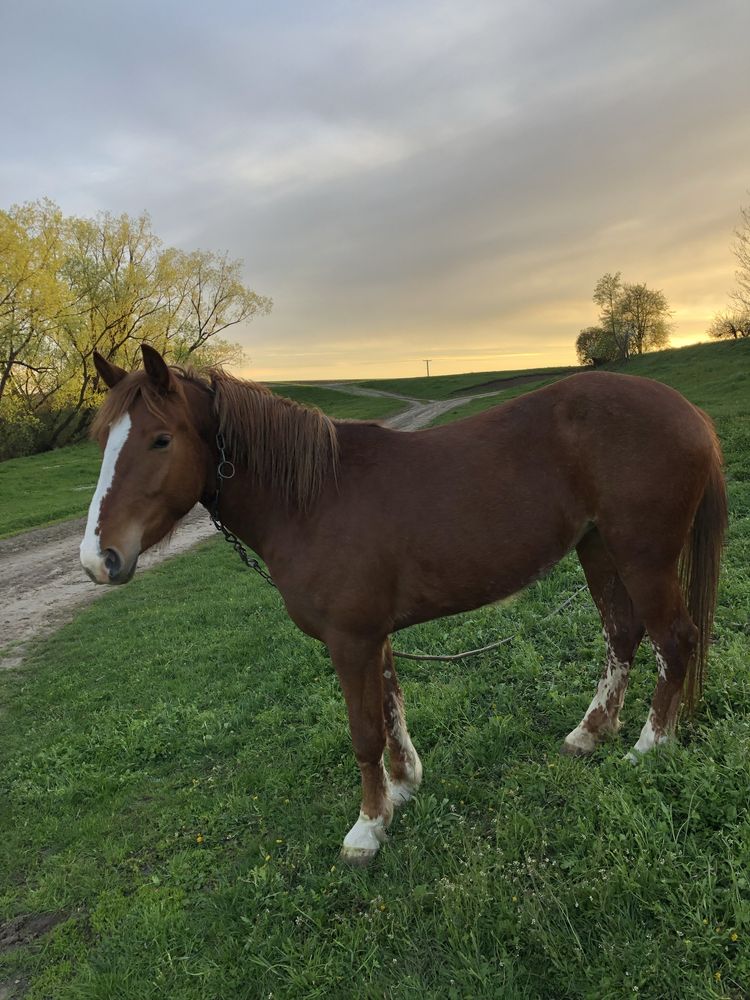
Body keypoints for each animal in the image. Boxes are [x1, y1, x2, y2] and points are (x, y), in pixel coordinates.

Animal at [81, 348, 728, 864]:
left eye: (161, 439)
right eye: (103, 441)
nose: (98, 559)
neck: (311, 499)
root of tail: (689, 412)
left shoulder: (350, 641)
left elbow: (365, 731)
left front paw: (368, 829)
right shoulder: (375, 636)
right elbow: (392, 707)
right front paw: (403, 786)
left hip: (643, 557)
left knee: (674, 640)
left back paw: (649, 747)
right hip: (598, 550)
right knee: (622, 634)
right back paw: (590, 733)